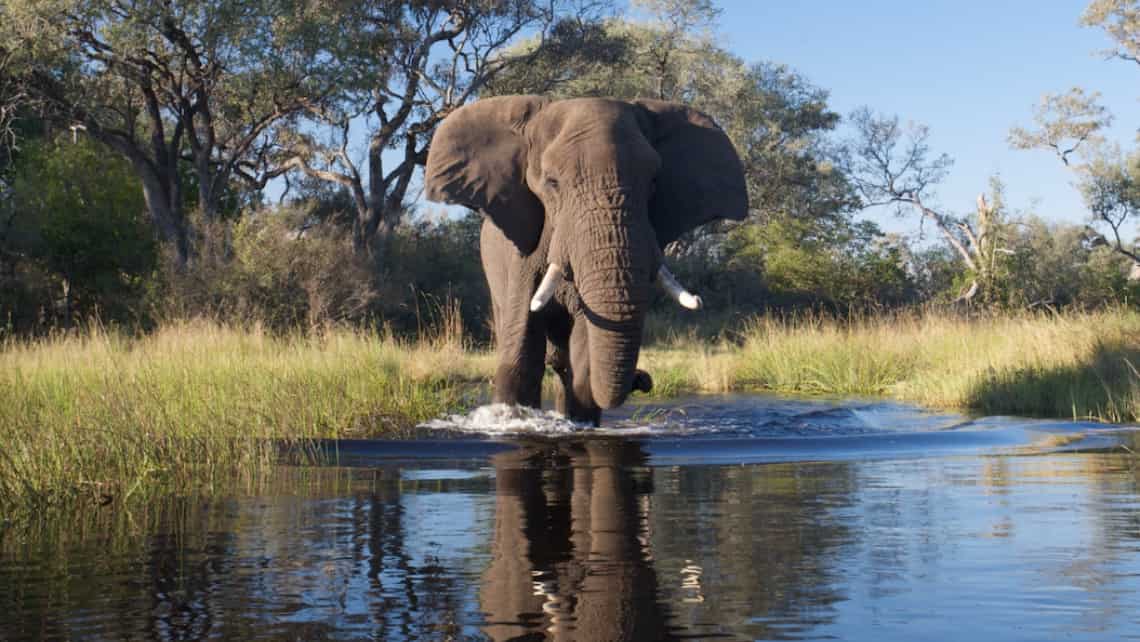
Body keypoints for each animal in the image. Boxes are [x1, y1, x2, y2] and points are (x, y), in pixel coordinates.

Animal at [421, 95, 747, 424]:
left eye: (654, 182)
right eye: (552, 183)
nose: (643, 380)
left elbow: (581, 350)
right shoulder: (522, 253)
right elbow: (522, 356)